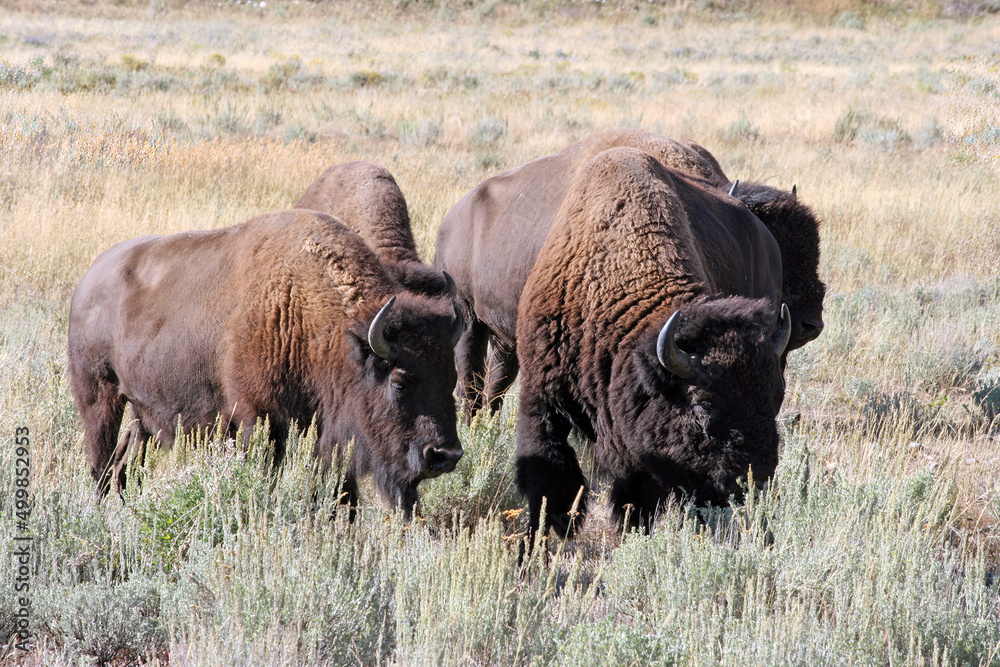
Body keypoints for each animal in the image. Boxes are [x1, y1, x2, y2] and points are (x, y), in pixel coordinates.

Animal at [66, 209, 464, 516]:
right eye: (399, 380)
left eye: (451, 378)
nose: (445, 455)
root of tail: (89, 278)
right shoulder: (257, 417)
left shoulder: (330, 432)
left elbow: (341, 491)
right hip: (100, 395)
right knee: (101, 462)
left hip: (142, 411)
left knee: (125, 461)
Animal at [434, 128, 824, 420]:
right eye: (783, 251)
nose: (811, 323)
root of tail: (452, 218)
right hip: (469, 319)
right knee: (470, 384)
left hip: (505, 336)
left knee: (495, 384)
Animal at [516, 147, 788, 544]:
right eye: (705, 403)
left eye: (776, 397)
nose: (753, 480)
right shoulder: (541, 399)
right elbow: (552, 481)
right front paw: (541, 543)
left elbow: (636, 500)